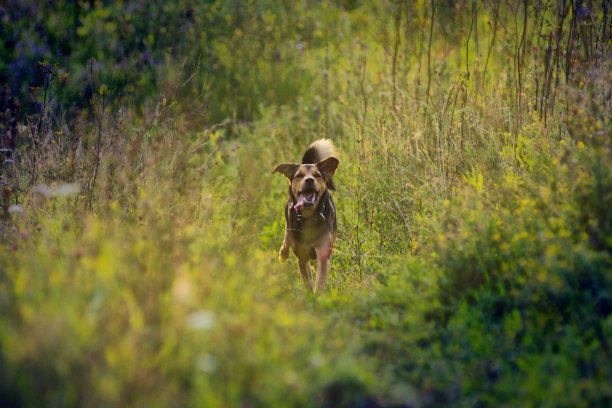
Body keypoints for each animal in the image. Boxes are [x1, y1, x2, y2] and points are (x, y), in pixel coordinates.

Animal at [274, 140, 340, 294]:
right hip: (289, 225)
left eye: (317, 175)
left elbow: (319, 282)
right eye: (299, 175)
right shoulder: (302, 258)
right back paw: (283, 253)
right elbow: (308, 282)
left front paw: (317, 296)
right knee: (287, 238)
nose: (309, 180)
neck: (310, 216)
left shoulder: (323, 256)